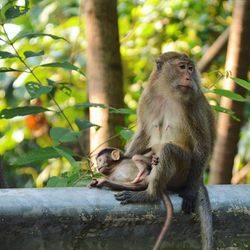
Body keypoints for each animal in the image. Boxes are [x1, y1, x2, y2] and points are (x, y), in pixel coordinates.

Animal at [115, 51, 215, 249]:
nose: (189, 77)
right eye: (182, 67)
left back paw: (148, 195)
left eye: (190, 68)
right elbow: (144, 132)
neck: (166, 93)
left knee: (169, 150)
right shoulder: (146, 98)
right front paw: (124, 157)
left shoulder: (193, 102)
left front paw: (190, 192)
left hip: (183, 174)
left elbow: (202, 145)